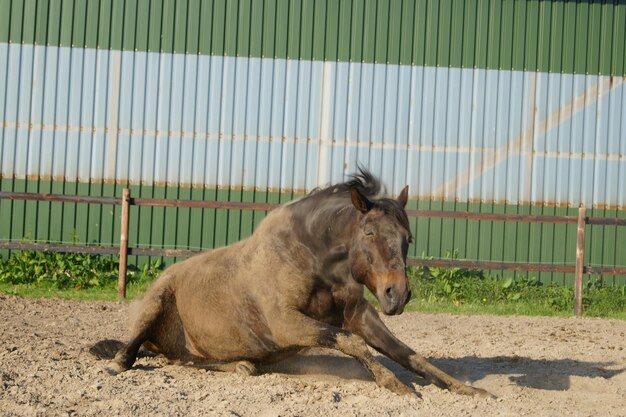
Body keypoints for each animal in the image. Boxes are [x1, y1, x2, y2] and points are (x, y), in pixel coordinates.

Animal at [100, 170, 488, 396]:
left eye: (408, 238)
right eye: (369, 233)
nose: (397, 295)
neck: (311, 257)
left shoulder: (360, 315)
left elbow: (410, 355)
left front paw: (468, 390)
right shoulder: (285, 323)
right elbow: (351, 343)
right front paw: (394, 384)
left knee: (187, 361)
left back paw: (241, 365)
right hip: (155, 304)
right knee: (135, 349)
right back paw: (118, 363)